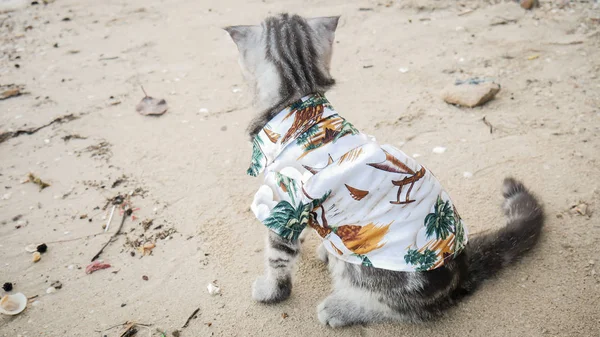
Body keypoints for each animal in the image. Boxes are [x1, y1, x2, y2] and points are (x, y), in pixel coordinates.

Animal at [224, 13, 544, 326]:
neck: (298, 99)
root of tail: (461, 272)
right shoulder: (298, 210)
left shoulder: (284, 203)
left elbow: (277, 257)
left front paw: (272, 291)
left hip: (372, 270)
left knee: (404, 310)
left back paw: (343, 309)